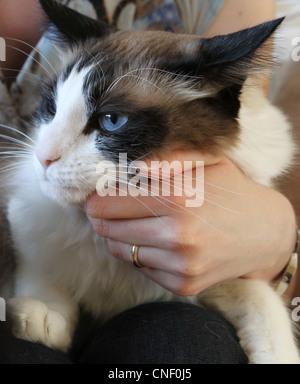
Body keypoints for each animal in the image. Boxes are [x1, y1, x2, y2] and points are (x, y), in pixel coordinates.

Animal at [3, 0, 298, 364]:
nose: (44, 157)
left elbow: (265, 309)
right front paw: (43, 316)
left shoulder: (215, 274)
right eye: (51, 108)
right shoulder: (27, 224)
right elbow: (41, 273)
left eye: (111, 121)